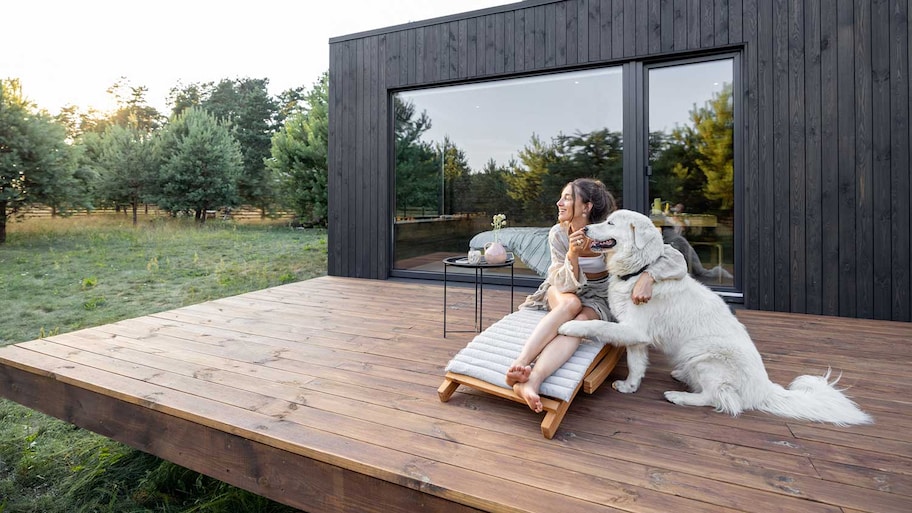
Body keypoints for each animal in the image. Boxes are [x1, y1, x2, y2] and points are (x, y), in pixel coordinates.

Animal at [560, 208, 872, 424]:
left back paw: (679, 396)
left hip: (706, 356)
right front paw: (629, 386)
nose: (585, 227)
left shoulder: (634, 330)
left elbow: (597, 324)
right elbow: (636, 365)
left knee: (720, 399)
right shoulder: (637, 336)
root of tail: (764, 389)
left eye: (610, 223)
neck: (640, 270)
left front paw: (569, 326)